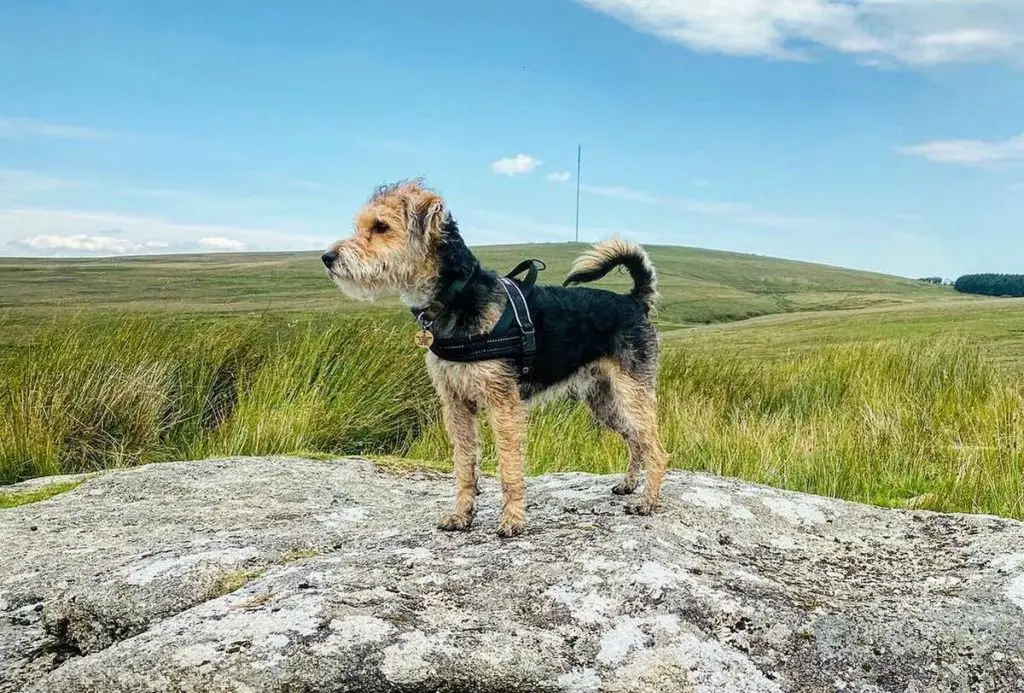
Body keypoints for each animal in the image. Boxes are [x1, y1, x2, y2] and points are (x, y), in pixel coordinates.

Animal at [323, 178, 667, 536]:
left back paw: (647, 501)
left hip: (631, 394)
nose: (327, 257)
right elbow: (464, 465)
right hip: (605, 401)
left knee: (656, 449)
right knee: (636, 441)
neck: (458, 296)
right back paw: (629, 484)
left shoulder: (504, 405)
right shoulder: (455, 404)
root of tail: (633, 300)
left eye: (381, 227)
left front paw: (512, 519)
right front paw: (462, 514)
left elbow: (509, 467)